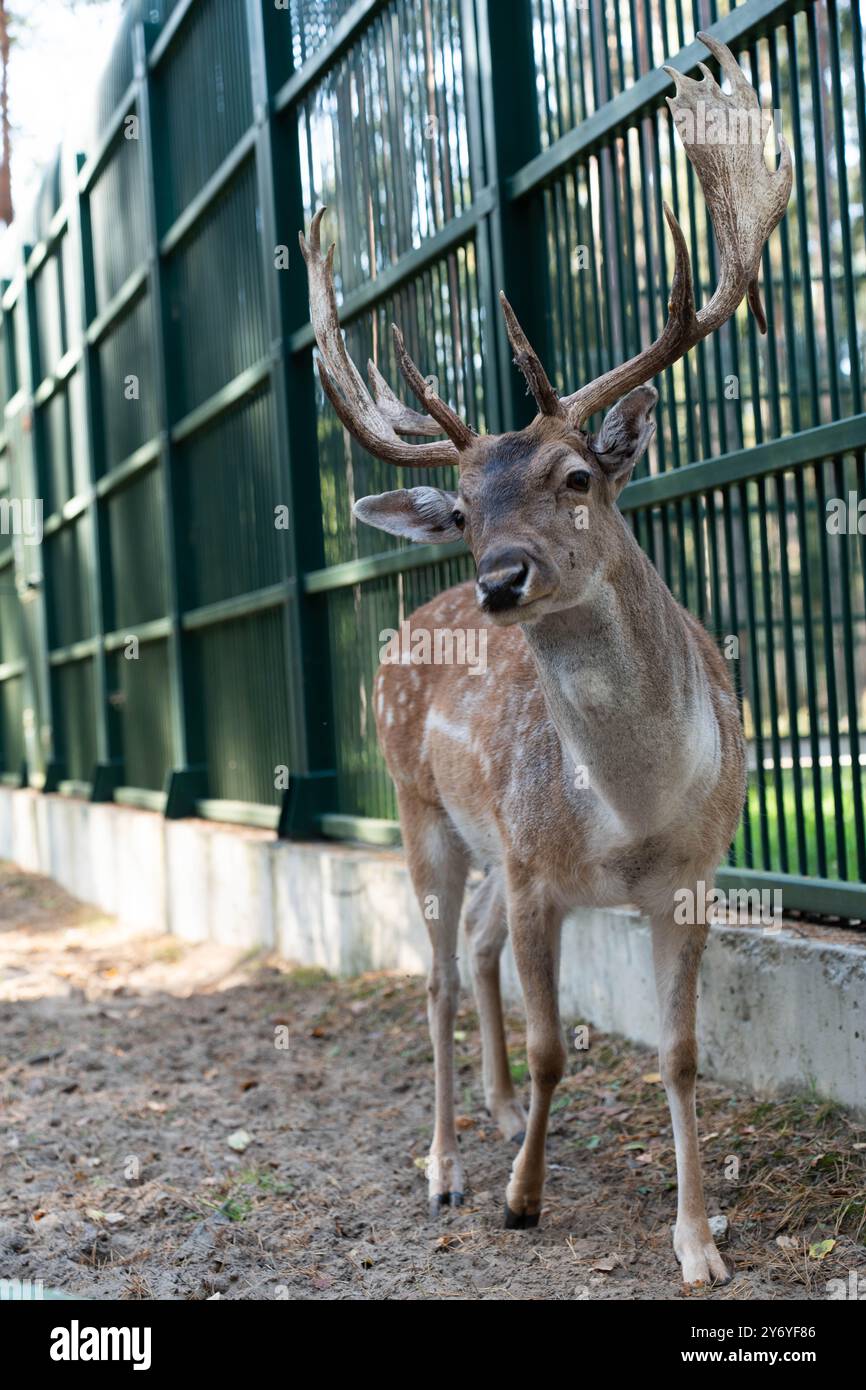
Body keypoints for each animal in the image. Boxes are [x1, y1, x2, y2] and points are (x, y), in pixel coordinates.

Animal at [300, 32, 795, 1284]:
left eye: (576, 475)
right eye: (467, 508)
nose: (498, 578)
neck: (630, 814)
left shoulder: (691, 875)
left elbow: (675, 1053)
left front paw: (696, 1242)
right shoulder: (533, 873)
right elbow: (557, 1046)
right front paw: (522, 1198)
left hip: (478, 839)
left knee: (467, 957)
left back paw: (489, 1107)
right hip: (421, 807)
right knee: (433, 974)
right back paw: (445, 1159)